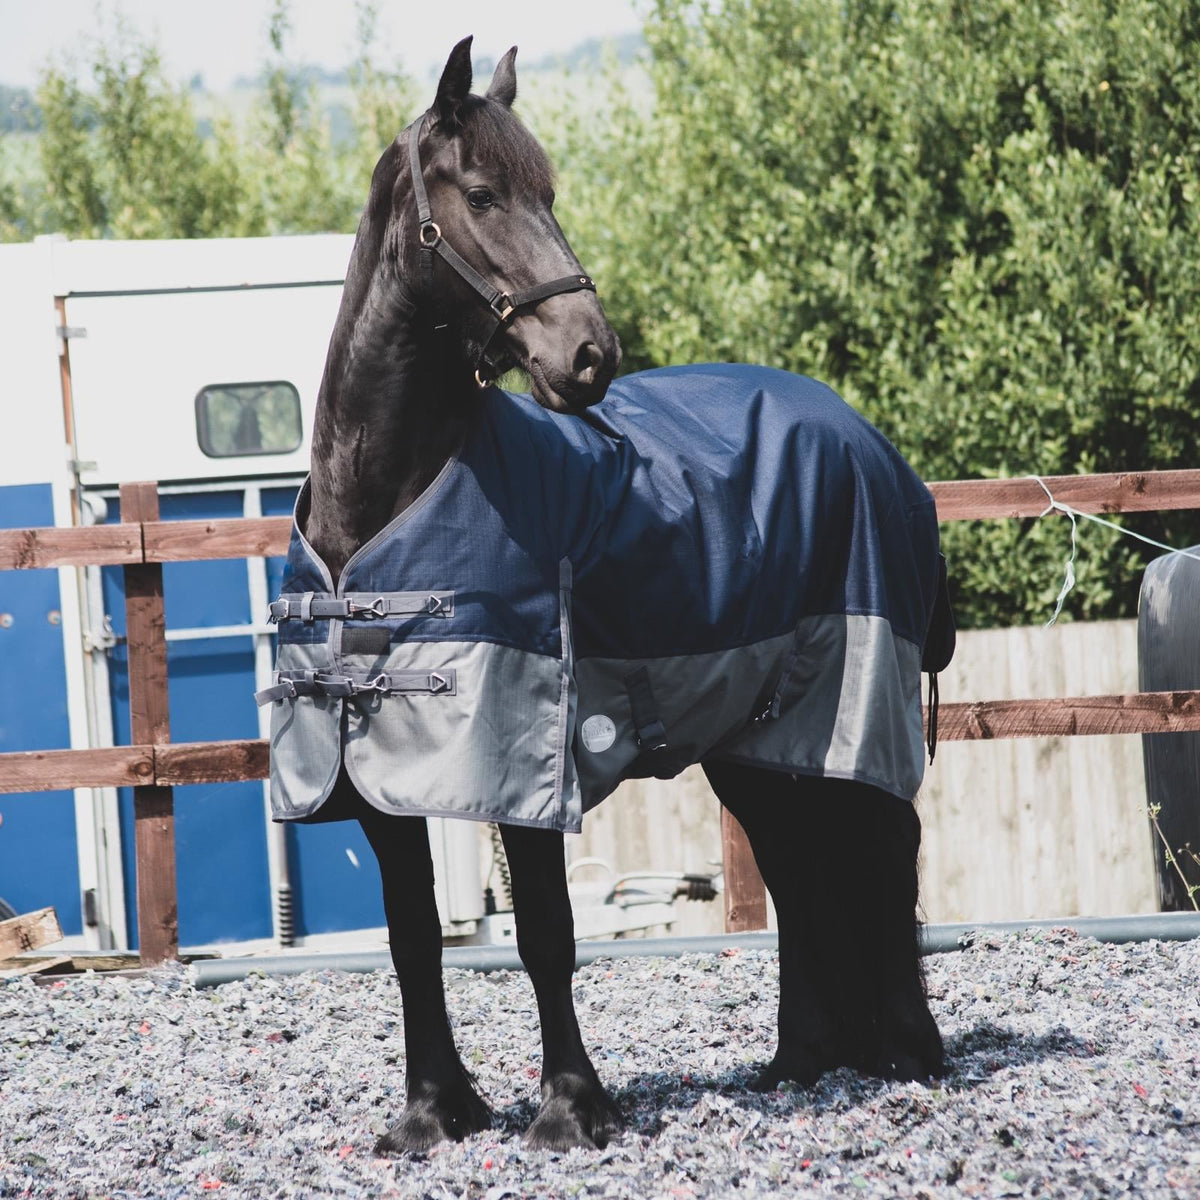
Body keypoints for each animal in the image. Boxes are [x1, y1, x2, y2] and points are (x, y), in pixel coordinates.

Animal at [260, 37, 952, 1153]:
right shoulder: (375, 776)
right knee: (799, 870)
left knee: (883, 849)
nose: (589, 355)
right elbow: (412, 940)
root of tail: (872, 444)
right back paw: (802, 1059)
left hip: (851, 699)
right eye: (484, 194)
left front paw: (570, 1108)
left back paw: (909, 1055)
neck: (380, 508)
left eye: (552, 193)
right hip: (759, 738)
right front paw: (431, 1113)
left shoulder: (522, 750)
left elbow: (545, 931)